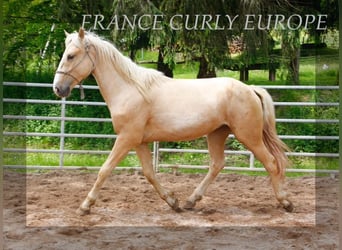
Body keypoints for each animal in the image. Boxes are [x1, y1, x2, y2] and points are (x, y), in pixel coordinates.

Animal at [53, 27, 294, 215]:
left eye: (71, 55)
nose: (57, 88)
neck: (131, 89)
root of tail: (250, 89)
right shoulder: (139, 142)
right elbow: (149, 174)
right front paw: (173, 202)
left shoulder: (126, 139)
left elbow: (104, 170)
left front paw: (85, 206)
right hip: (217, 134)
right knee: (217, 165)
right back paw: (190, 201)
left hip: (248, 136)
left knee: (271, 163)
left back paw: (286, 202)